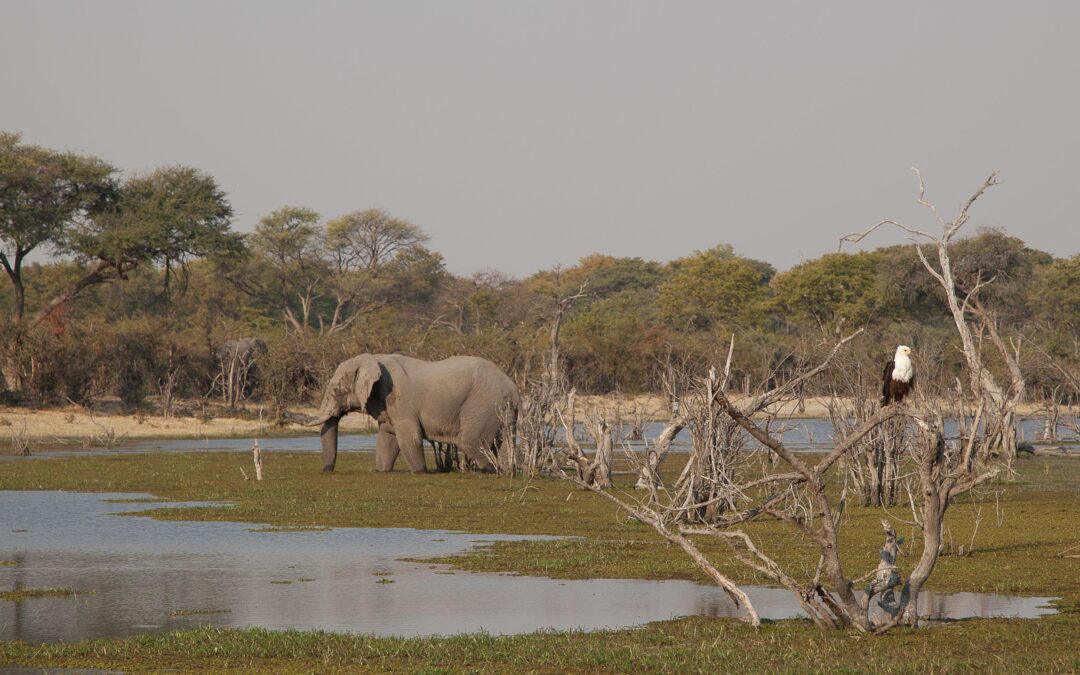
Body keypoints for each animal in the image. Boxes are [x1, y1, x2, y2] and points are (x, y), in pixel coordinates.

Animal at [306, 352, 520, 473]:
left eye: (337, 391)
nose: (328, 470)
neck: (372, 359)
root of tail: (513, 388)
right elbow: (387, 439)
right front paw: (382, 471)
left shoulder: (400, 401)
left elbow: (410, 438)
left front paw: (420, 472)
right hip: (502, 413)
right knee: (504, 443)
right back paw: (507, 471)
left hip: (484, 406)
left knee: (470, 442)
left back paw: (492, 470)